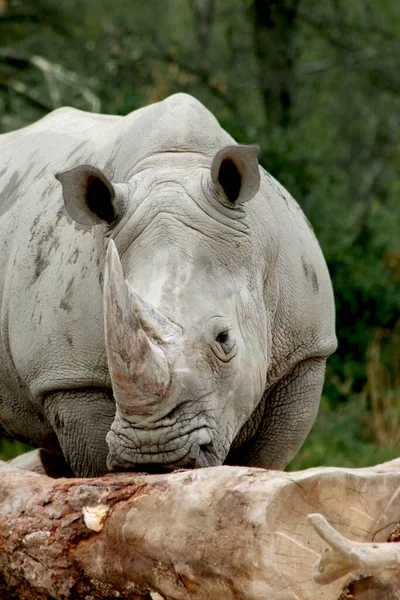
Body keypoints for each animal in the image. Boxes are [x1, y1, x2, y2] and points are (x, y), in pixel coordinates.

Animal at [0, 95, 336, 478]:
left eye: (224, 338)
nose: (153, 452)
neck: (176, 164)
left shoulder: (304, 354)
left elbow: (261, 463)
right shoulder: (70, 377)